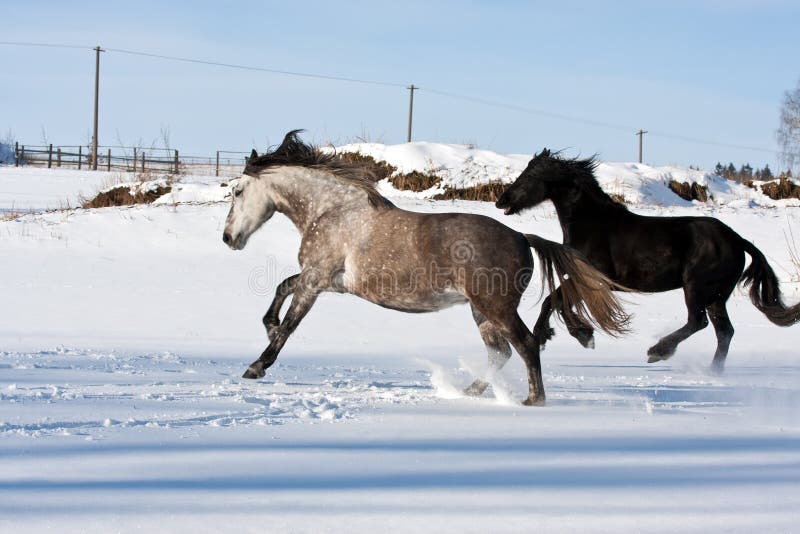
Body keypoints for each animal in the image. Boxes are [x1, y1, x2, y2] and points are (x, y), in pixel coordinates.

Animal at [222, 131, 628, 406]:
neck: (334, 211)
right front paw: (269, 326)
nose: (228, 238)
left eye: (238, 192)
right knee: (500, 353)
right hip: (481, 311)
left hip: (495, 307)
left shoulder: (315, 280)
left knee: (526, 345)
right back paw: (466, 392)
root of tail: (522, 237)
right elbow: (281, 289)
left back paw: (531, 400)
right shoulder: (325, 281)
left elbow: (291, 324)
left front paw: (257, 366)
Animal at [496, 148, 796, 372]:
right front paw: (580, 335)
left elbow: (553, 301)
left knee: (698, 322)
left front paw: (556, 336)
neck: (592, 224)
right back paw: (713, 371)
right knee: (724, 332)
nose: (502, 201)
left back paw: (658, 351)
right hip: (717, 296)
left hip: (697, 288)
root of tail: (737, 239)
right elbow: (557, 302)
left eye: (529, 175)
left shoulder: (593, 279)